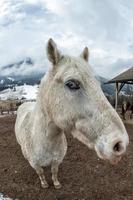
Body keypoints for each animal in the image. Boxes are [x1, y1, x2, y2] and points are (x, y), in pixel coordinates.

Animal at [14, 38, 129, 189]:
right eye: (71, 84)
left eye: (98, 84)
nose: (120, 144)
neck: (43, 141)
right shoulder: (35, 164)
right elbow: (41, 173)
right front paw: (44, 184)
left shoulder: (56, 160)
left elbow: (54, 171)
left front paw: (56, 183)